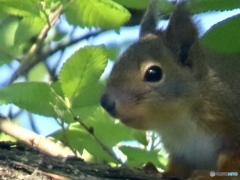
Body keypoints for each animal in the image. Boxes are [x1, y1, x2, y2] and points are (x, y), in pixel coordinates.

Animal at [99, 0, 240, 179]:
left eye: (153, 73)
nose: (106, 103)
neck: (177, 122)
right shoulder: (182, 154)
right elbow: (177, 168)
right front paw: (153, 170)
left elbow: (233, 164)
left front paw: (209, 175)